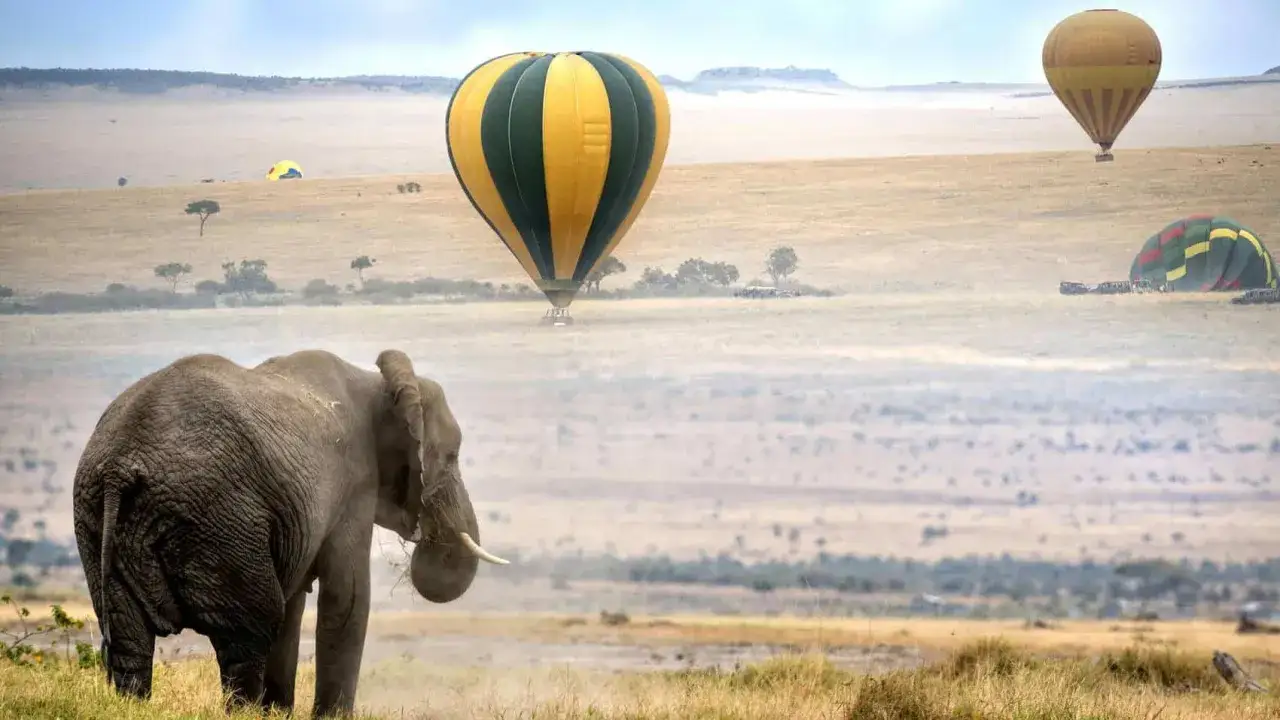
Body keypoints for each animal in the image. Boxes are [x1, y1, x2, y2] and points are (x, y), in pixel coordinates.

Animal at [72, 348, 508, 717]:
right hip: (219, 519)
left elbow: (295, 602)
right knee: (249, 631)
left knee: (129, 640)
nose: (425, 533)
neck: (378, 382)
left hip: (97, 521)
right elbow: (347, 598)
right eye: (452, 455)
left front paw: (279, 713)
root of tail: (120, 466)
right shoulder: (353, 484)